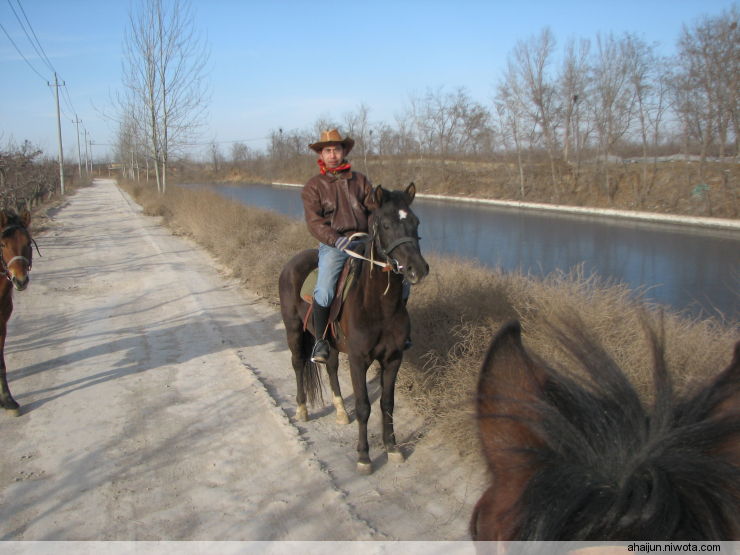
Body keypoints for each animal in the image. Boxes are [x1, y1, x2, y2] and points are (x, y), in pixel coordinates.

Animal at [278, 185, 428, 476]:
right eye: (386, 224)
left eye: (416, 222)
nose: (418, 269)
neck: (379, 306)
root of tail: (293, 262)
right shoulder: (359, 360)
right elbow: (363, 407)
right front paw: (364, 457)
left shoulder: (393, 359)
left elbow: (387, 404)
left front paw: (393, 448)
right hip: (293, 330)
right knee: (298, 364)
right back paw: (302, 409)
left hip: (330, 342)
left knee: (331, 367)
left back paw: (339, 411)